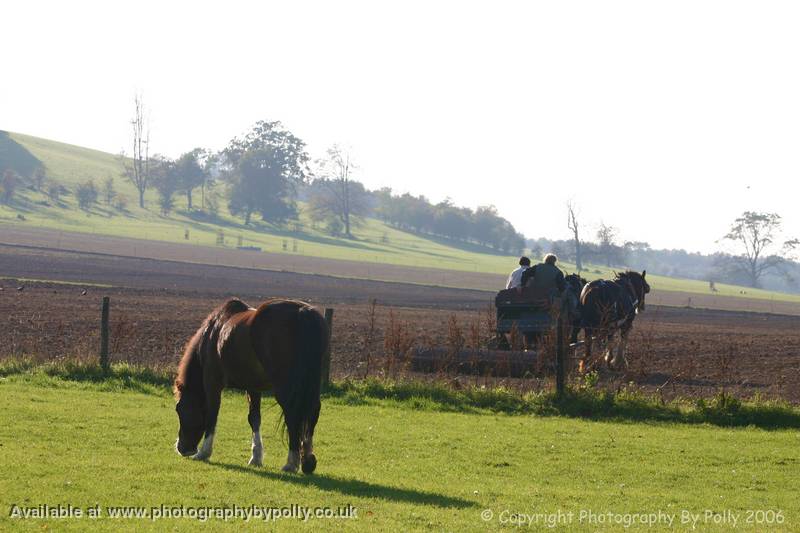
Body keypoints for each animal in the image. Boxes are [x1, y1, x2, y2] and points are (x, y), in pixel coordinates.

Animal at [173, 300, 326, 474]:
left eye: (179, 409)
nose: (182, 449)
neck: (214, 333)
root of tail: (303, 313)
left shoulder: (212, 382)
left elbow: (212, 415)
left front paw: (204, 453)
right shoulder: (253, 387)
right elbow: (254, 419)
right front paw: (256, 457)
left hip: (285, 388)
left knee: (292, 414)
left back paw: (291, 463)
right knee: (312, 411)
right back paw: (308, 461)